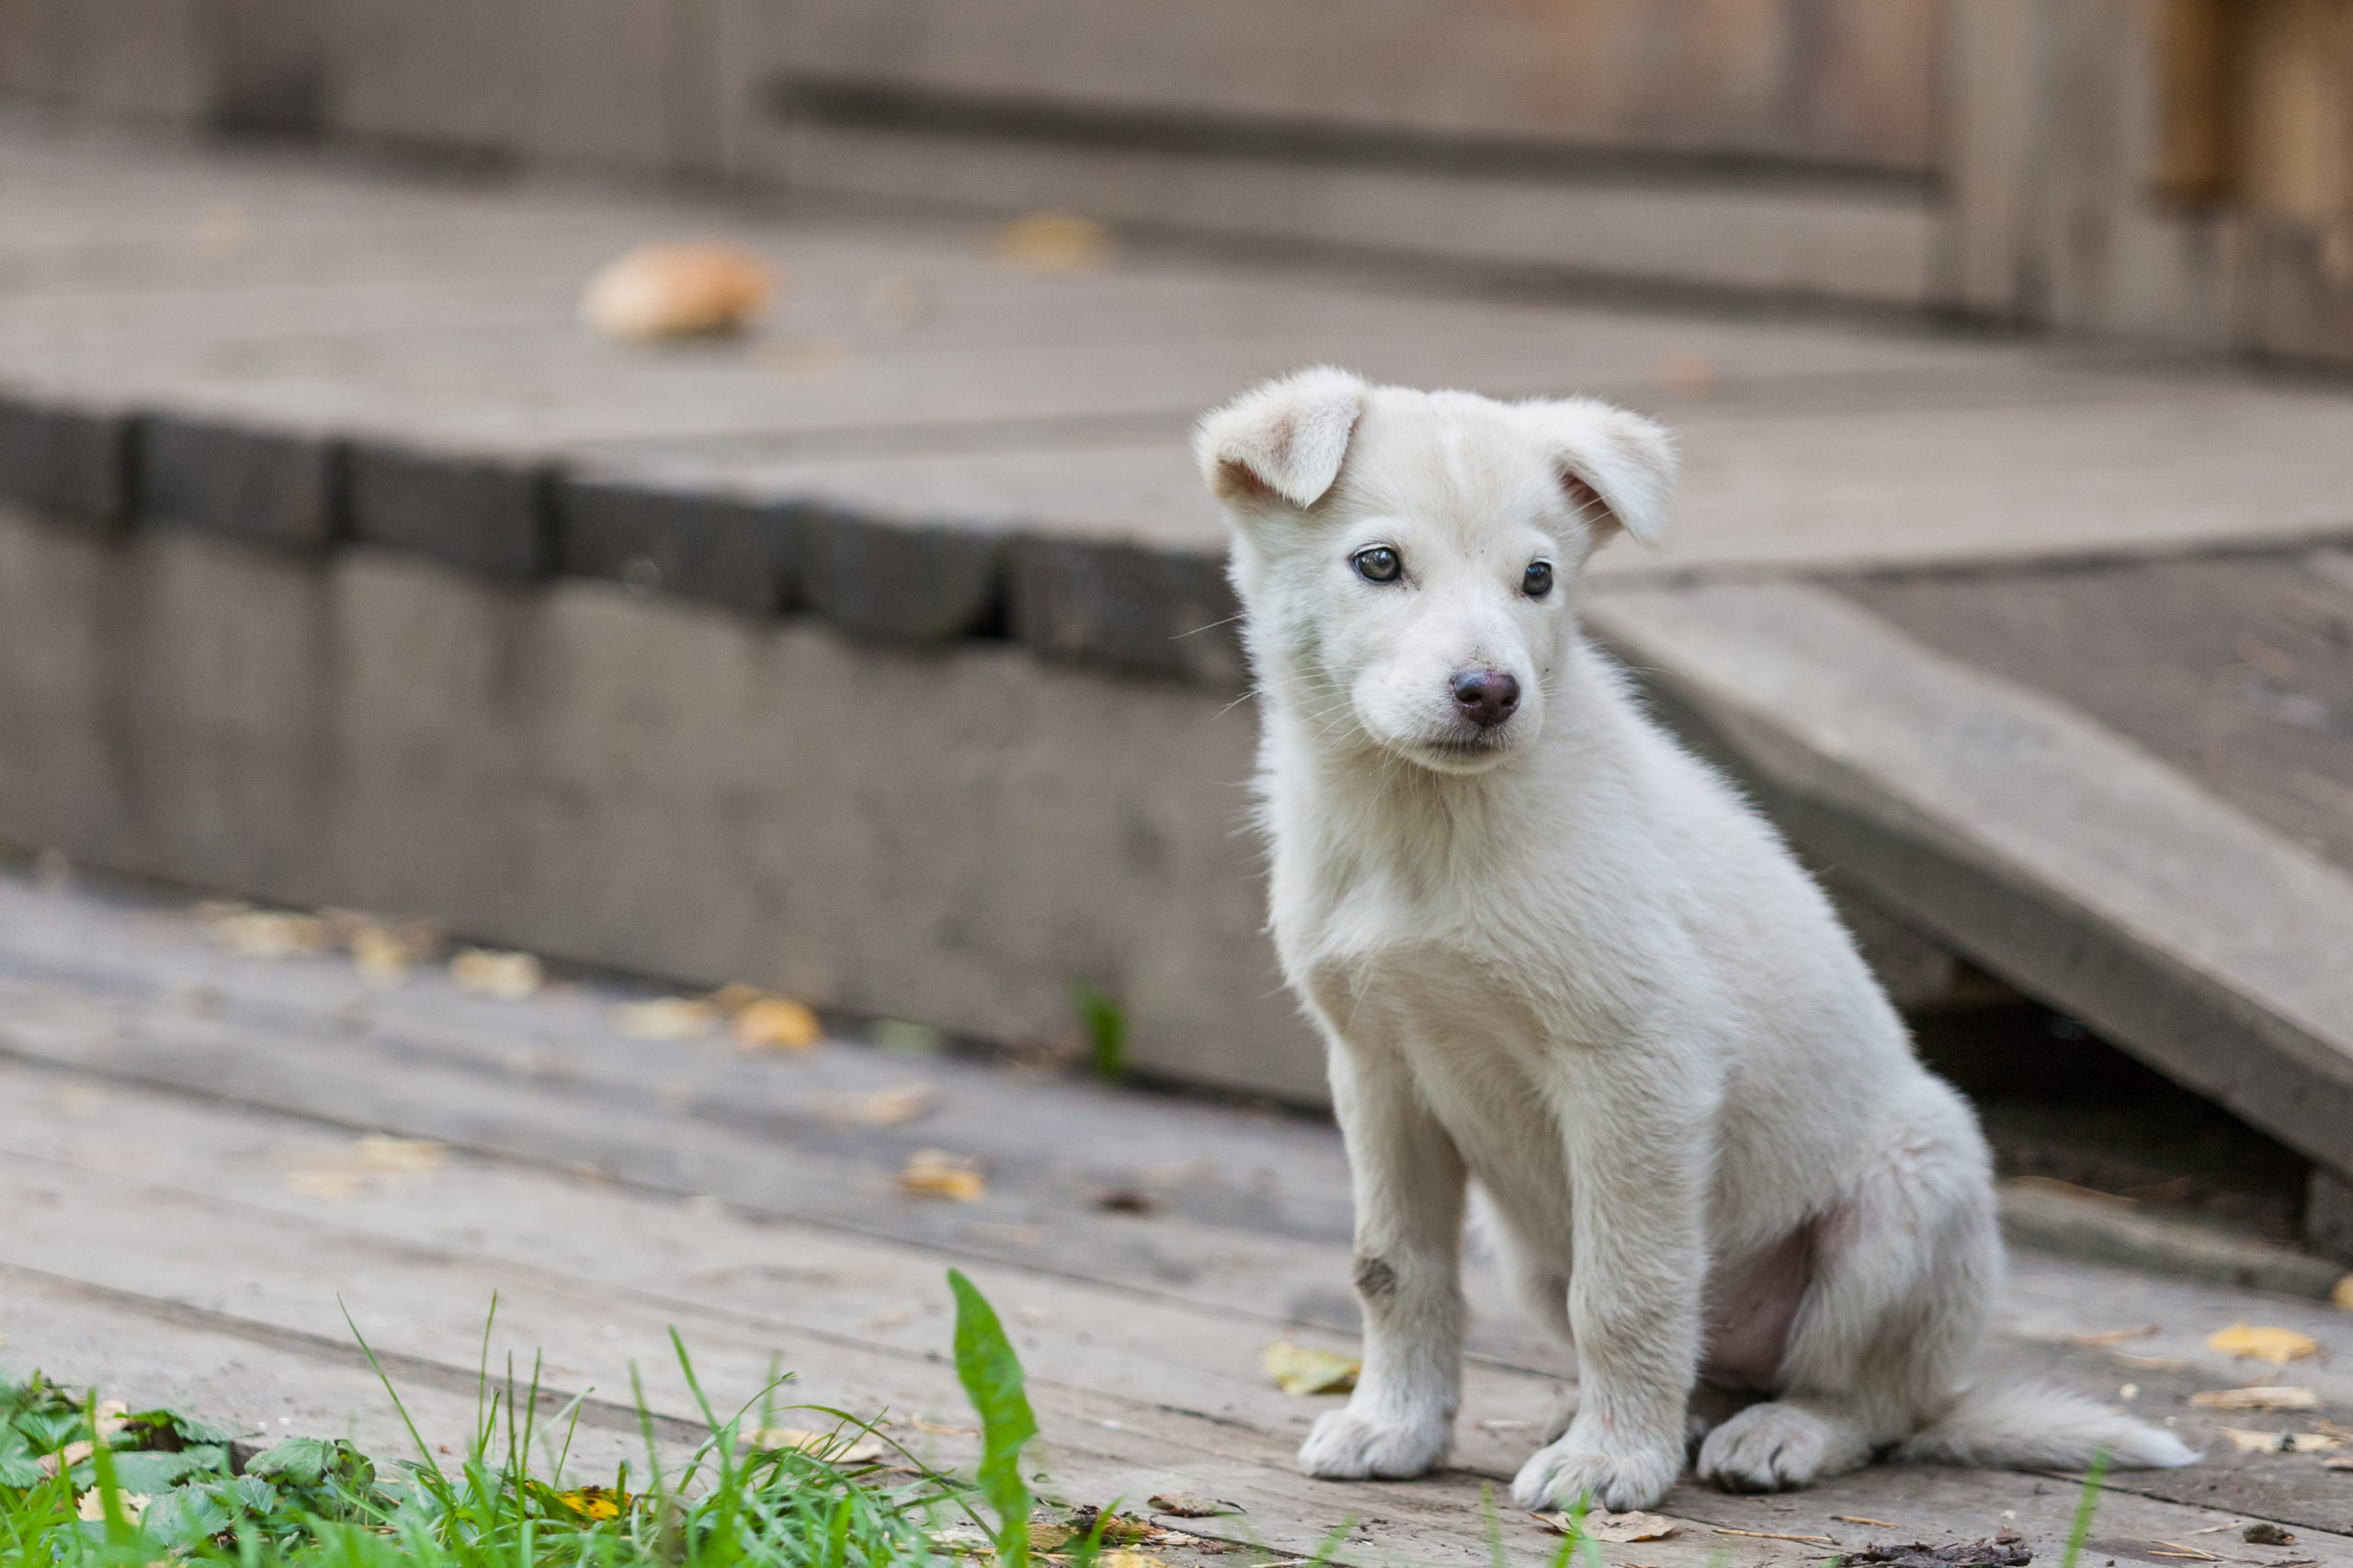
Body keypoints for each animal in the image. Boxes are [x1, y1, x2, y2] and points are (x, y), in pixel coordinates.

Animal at [1195, 362, 2202, 1506]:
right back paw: (1650, 1415)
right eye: (1378, 563)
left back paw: (1775, 1433)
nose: (1491, 692)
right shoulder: (1378, 1067)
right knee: (1711, 1365)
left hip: (1908, 1191)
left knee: (1869, 1400)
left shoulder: (1639, 1066)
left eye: (1537, 578)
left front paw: (1607, 1464)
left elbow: (1627, 1287)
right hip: (1529, 1247)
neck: (1423, 823)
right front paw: (1394, 1428)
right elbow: (1393, 1268)